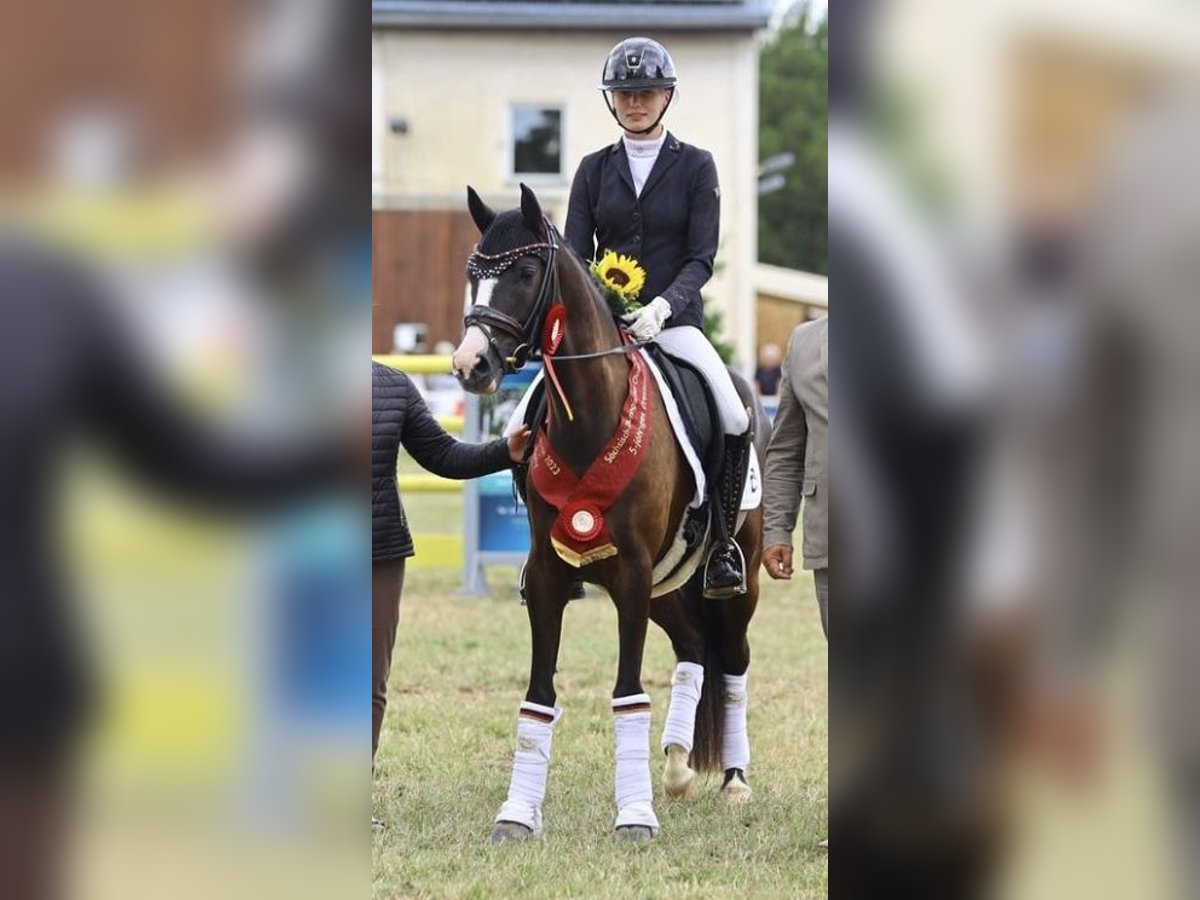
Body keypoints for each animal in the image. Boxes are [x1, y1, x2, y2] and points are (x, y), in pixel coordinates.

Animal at [451, 183, 768, 844]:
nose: (471, 366)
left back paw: (733, 782)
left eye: (525, 272)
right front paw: (516, 815)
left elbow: (627, 694)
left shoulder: (630, 575)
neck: (589, 418)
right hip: (664, 586)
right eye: (473, 274)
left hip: (735, 578)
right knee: (693, 649)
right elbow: (537, 696)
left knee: (732, 661)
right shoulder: (553, 576)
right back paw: (676, 769)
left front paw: (635, 818)